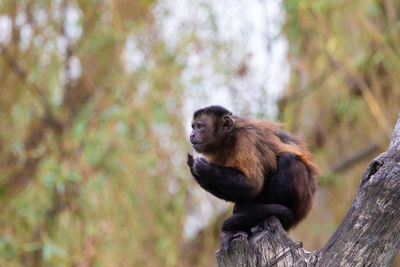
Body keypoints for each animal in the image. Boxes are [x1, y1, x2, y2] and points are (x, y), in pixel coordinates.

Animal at [187, 105, 318, 252]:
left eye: (199, 126)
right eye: (193, 127)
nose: (192, 134)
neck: (229, 138)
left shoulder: (245, 139)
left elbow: (252, 184)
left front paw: (204, 168)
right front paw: (194, 168)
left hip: (301, 202)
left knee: (288, 160)